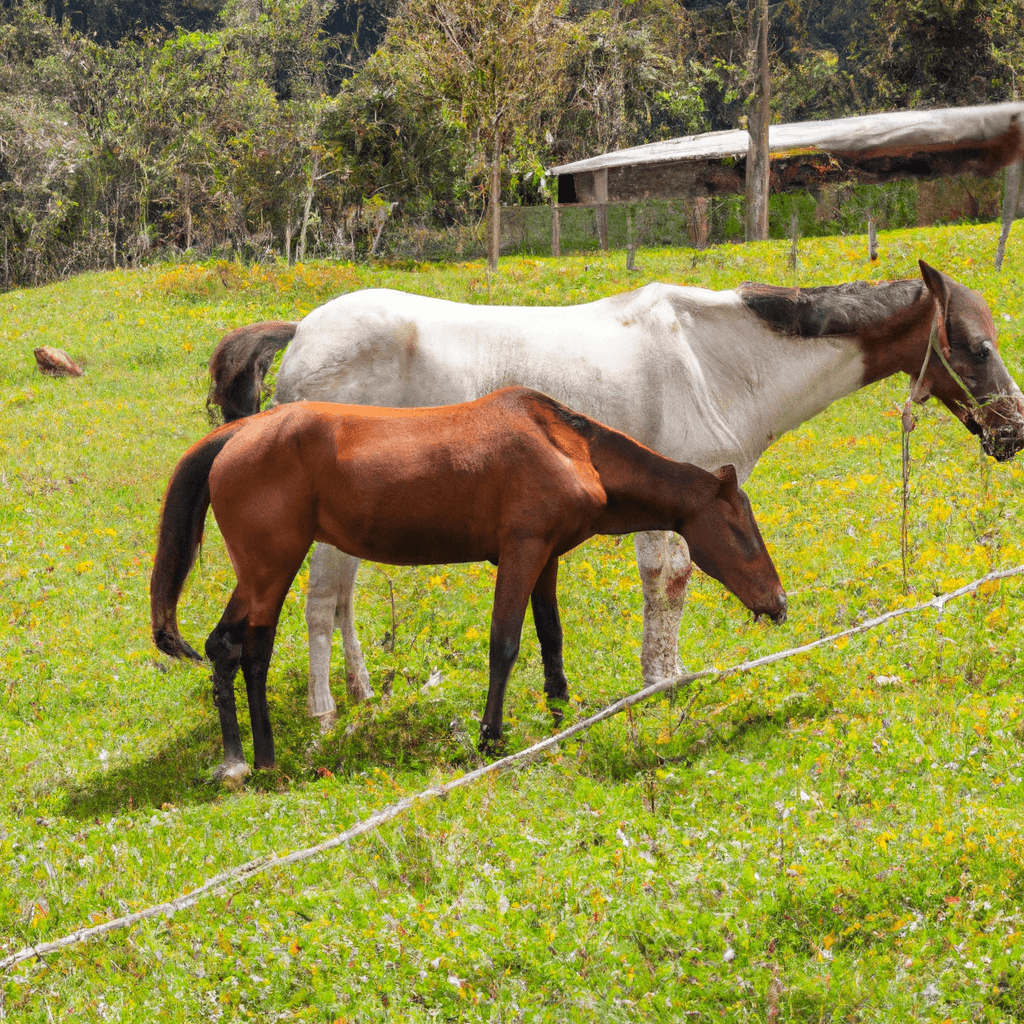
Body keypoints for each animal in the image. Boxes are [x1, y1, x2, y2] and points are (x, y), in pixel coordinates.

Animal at [151, 387, 787, 785]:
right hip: (271, 568)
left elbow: (551, 639)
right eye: (741, 531)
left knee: (223, 647)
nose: (778, 603)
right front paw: (491, 738)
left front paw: (558, 713)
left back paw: (235, 759)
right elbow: (505, 645)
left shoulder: (545, 558)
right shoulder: (521, 552)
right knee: (253, 651)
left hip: (257, 573)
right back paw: (262, 757)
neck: (567, 445)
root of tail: (237, 436)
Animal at [207, 260, 1024, 728]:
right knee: (319, 603)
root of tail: (301, 331)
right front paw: (662, 683)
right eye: (978, 346)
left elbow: (660, 584)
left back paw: (361, 694)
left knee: (340, 601)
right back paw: (323, 717)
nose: (1013, 432)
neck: (719, 358)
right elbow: (671, 582)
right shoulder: (688, 500)